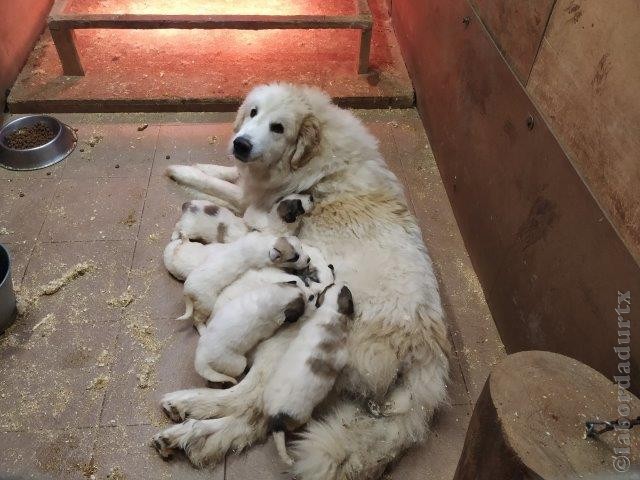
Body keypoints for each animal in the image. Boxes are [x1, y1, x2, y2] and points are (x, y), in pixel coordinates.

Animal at [179, 232, 312, 334]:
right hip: (206, 303)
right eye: (294, 258)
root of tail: (186, 289)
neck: (267, 245)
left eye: (301, 247)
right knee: (196, 320)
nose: (309, 259)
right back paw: (203, 330)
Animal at [262, 282, 358, 464]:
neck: (329, 309)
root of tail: (277, 418)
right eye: (347, 291)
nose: (343, 283)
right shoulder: (342, 355)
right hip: (303, 415)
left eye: (330, 286)